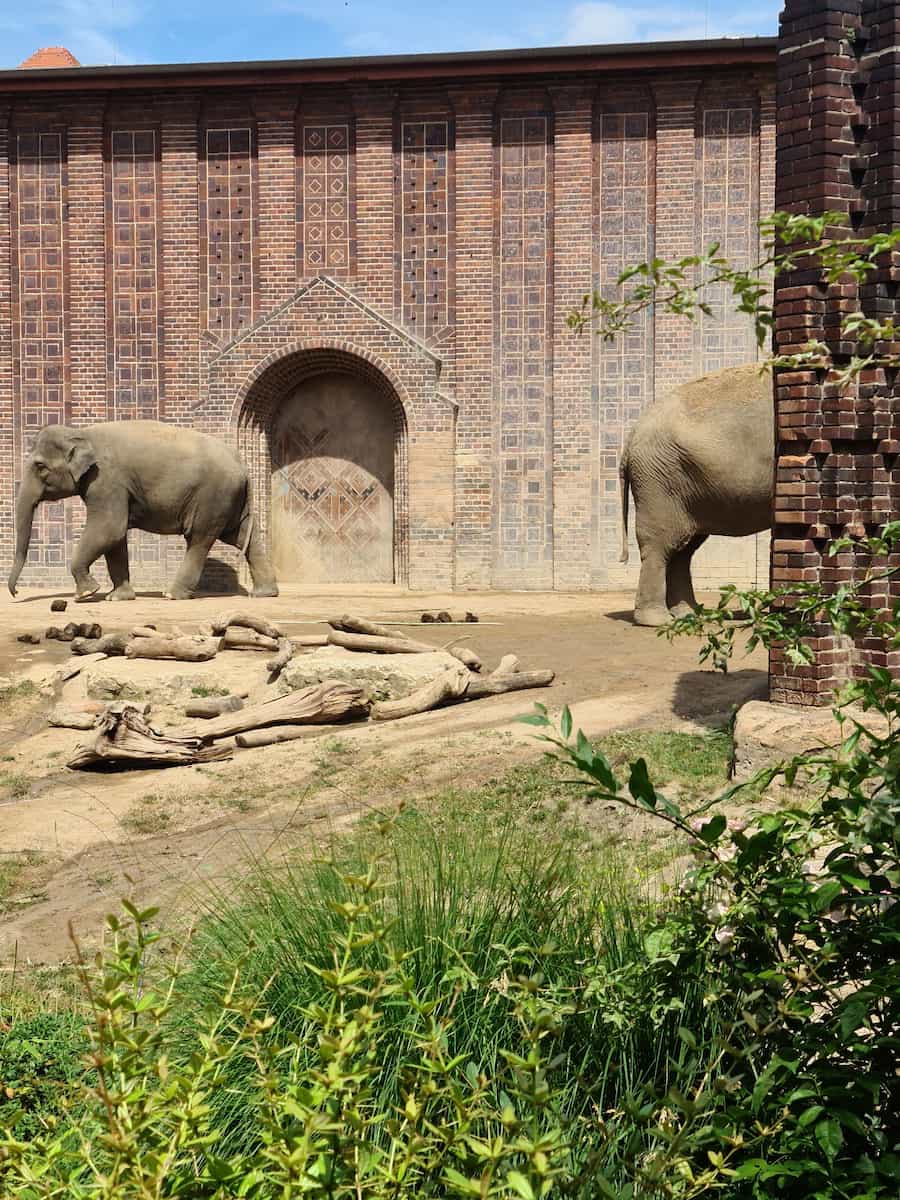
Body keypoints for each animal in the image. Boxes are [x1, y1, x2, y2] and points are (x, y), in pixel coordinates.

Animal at [8, 421, 279, 602]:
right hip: (229, 499)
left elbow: (109, 529)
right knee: (242, 536)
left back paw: (171, 594)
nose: (16, 592)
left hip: (212, 497)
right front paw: (118, 597)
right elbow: (115, 538)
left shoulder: (107, 480)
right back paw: (264, 593)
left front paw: (86, 593)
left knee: (199, 539)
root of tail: (243, 464)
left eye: (40, 466)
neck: (81, 433)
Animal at [619, 363, 773, 627]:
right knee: (660, 544)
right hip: (658, 480)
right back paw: (657, 620)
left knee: (683, 550)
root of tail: (632, 434)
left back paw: (689, 615)